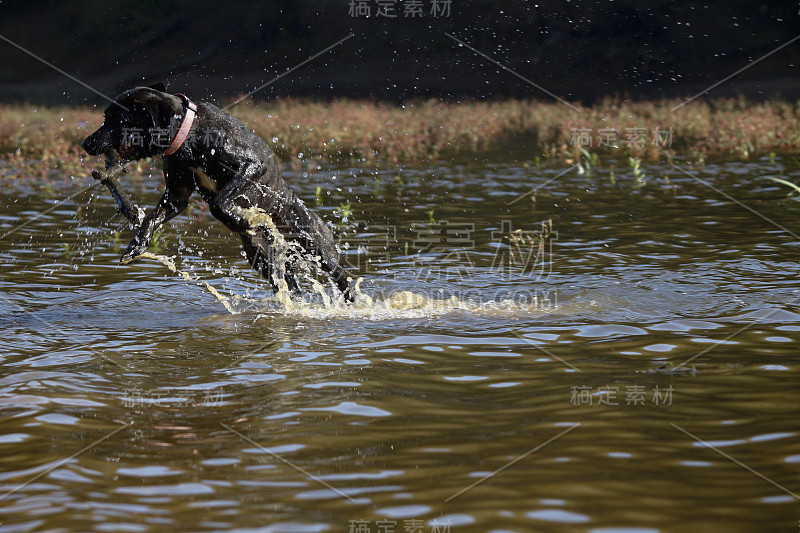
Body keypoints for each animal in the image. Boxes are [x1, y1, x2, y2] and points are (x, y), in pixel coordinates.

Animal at [83, 82, 354, 300]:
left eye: (116, 119)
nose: (86, 143)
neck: (189, 136)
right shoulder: (176, 196)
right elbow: (151, 217)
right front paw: (137, 245)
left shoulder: (250, 166)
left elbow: (218, 203)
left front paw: (241, 221)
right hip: (264, 260)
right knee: (290, 287)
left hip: (314, 243)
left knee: (342, 275)